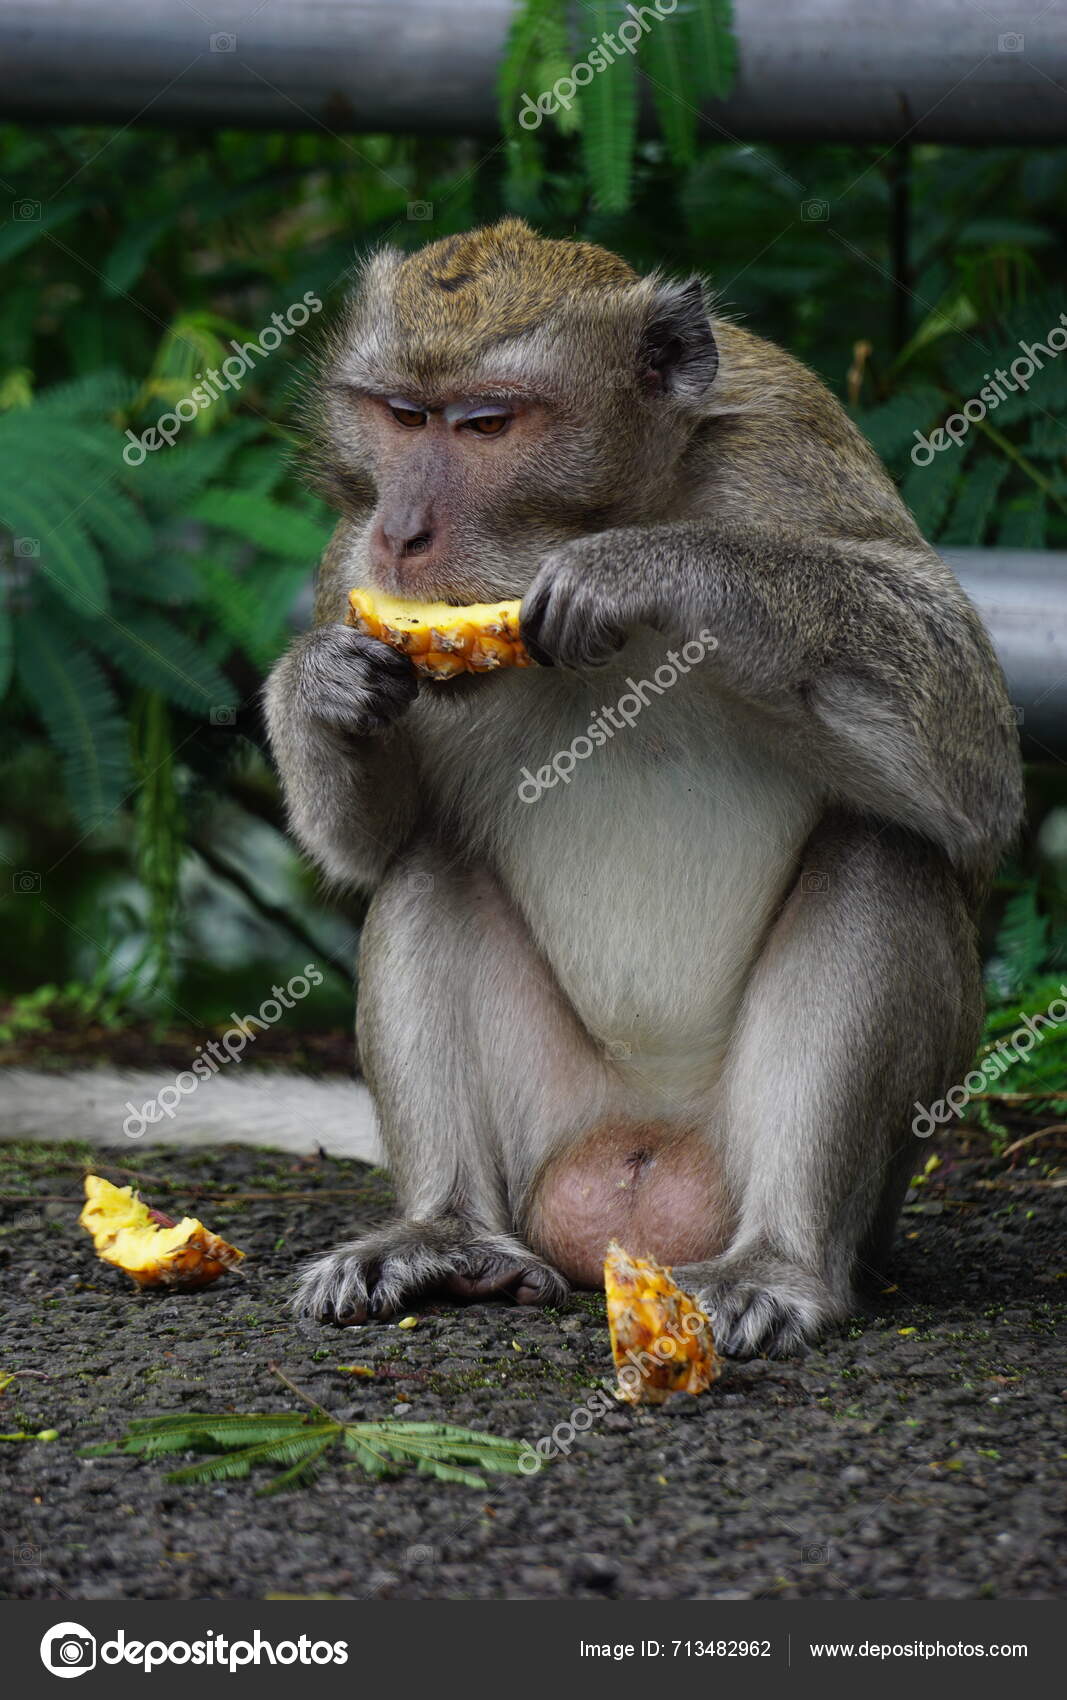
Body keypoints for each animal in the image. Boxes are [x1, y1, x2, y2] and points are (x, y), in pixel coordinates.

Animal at [264, 218, 1023, 1356]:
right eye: (401, 415)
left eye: (486, 424)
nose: (402, 531)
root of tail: (641, 1155)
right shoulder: (347, 567)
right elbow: (374, 842)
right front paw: (317, 684)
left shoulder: (783, 458)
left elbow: (972, 754)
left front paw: (657, 569)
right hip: (555, 1126)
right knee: (427, 865)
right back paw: (446, 1235)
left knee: (880, 853)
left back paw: (777, 1263)